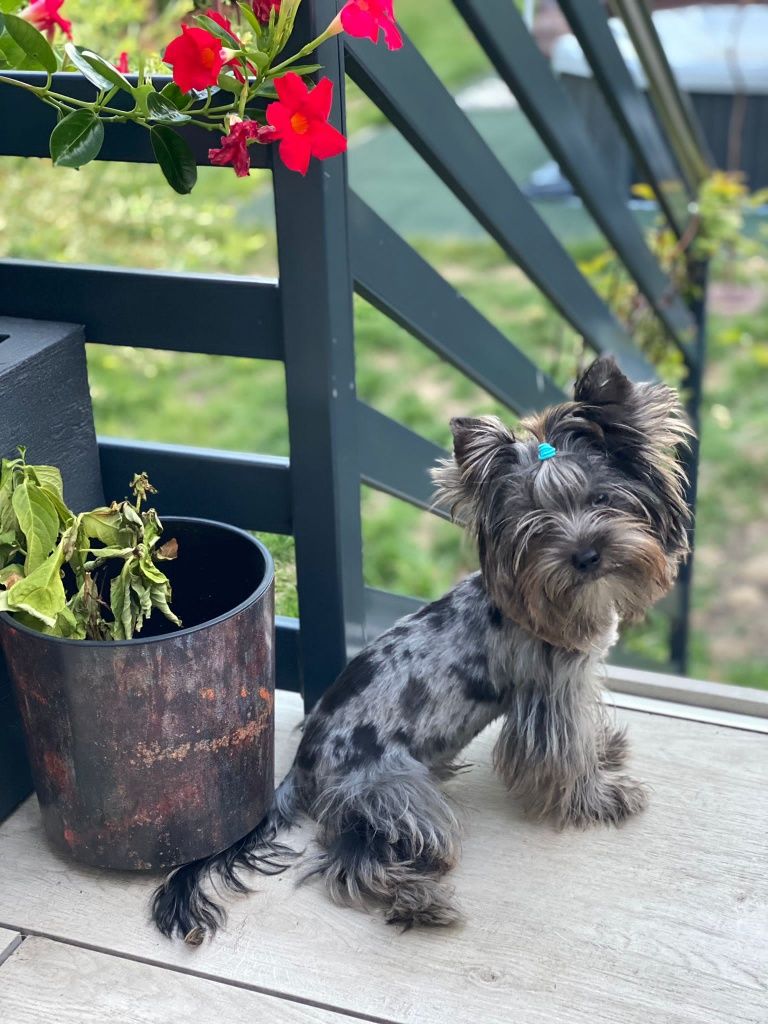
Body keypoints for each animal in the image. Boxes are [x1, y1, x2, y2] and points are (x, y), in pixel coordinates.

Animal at [151, 358, 696, 942]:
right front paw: (602, 798)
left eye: (602, 499)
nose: (587, 555)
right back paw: (420, 901)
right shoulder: (549, 697)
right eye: (535, 525)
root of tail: (301, 768)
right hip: (395, 789)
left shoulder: (572, 687)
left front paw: (604, 751)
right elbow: (563, 758)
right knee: (355, 860)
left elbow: (584, 736)